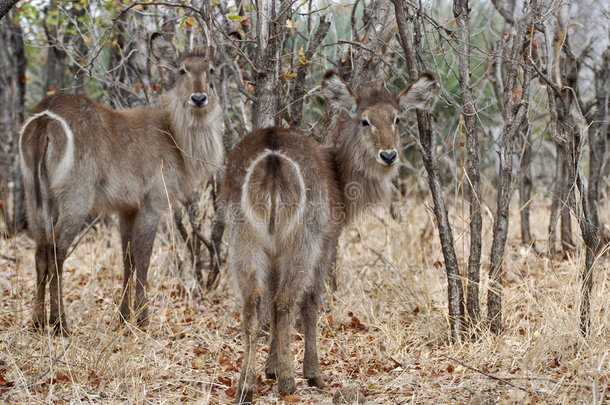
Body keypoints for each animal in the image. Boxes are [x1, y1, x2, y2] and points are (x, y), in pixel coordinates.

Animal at [19, 32, 223, 334]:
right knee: (57, 251)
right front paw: (143, 319)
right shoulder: (153, 203)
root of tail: (46, 115)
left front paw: (124, 316)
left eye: (210, 70)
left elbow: (127, 258)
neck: (174, 137)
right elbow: (143, 256)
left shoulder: (127, 208)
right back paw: (60, 324)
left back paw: (36, 322)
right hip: (75, 198)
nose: (199, 98)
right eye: (182, 70)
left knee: (40, 252)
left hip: (35, 196)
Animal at [221, 70, 434, 400]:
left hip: (244, 238)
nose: (388, 154)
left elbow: (269, 301)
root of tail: (271, 153)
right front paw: (311, 374)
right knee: (287, 301)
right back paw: (290, 384)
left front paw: (270, 368)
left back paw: (245, 387)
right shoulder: (327, 241)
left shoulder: (273, 252)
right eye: (364, 120)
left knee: (253, 302)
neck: (339, 175)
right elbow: (310, 302)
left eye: (397, 118)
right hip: (302, 241)